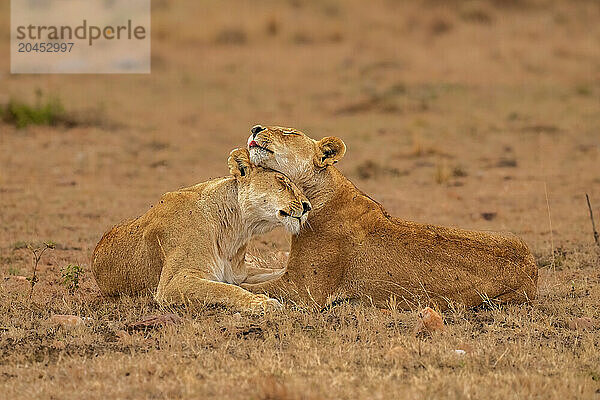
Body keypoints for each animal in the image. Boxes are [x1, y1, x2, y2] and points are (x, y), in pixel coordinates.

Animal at [92, 148, 314, 310]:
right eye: (283, 182)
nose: (307, 206)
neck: (236, 230)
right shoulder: (173, 282)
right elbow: (225, 290)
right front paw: (262, 302)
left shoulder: (239, 274)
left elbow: (274, 272)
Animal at [241, 125, 536, 310]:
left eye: (289, 132)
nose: (255, 128)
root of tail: (532, 269)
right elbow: (252, 277)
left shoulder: (304, 289)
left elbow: (253, 287)